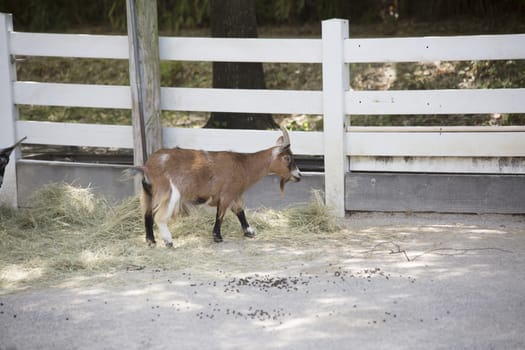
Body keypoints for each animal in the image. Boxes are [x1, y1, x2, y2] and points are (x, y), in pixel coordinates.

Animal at [128, 126, 300, 246]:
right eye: (287, 158)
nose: (298, 176)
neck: (243, 165)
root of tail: (147, 167)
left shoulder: (235, 195)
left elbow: (240, 212)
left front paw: (249, 232)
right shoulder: (226, 194)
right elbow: (220, 215)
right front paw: (217, 237)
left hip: (148, 193)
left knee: (147, 215)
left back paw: (151, 241)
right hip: (169, 193)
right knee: (158, 216)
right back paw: (168, 241)